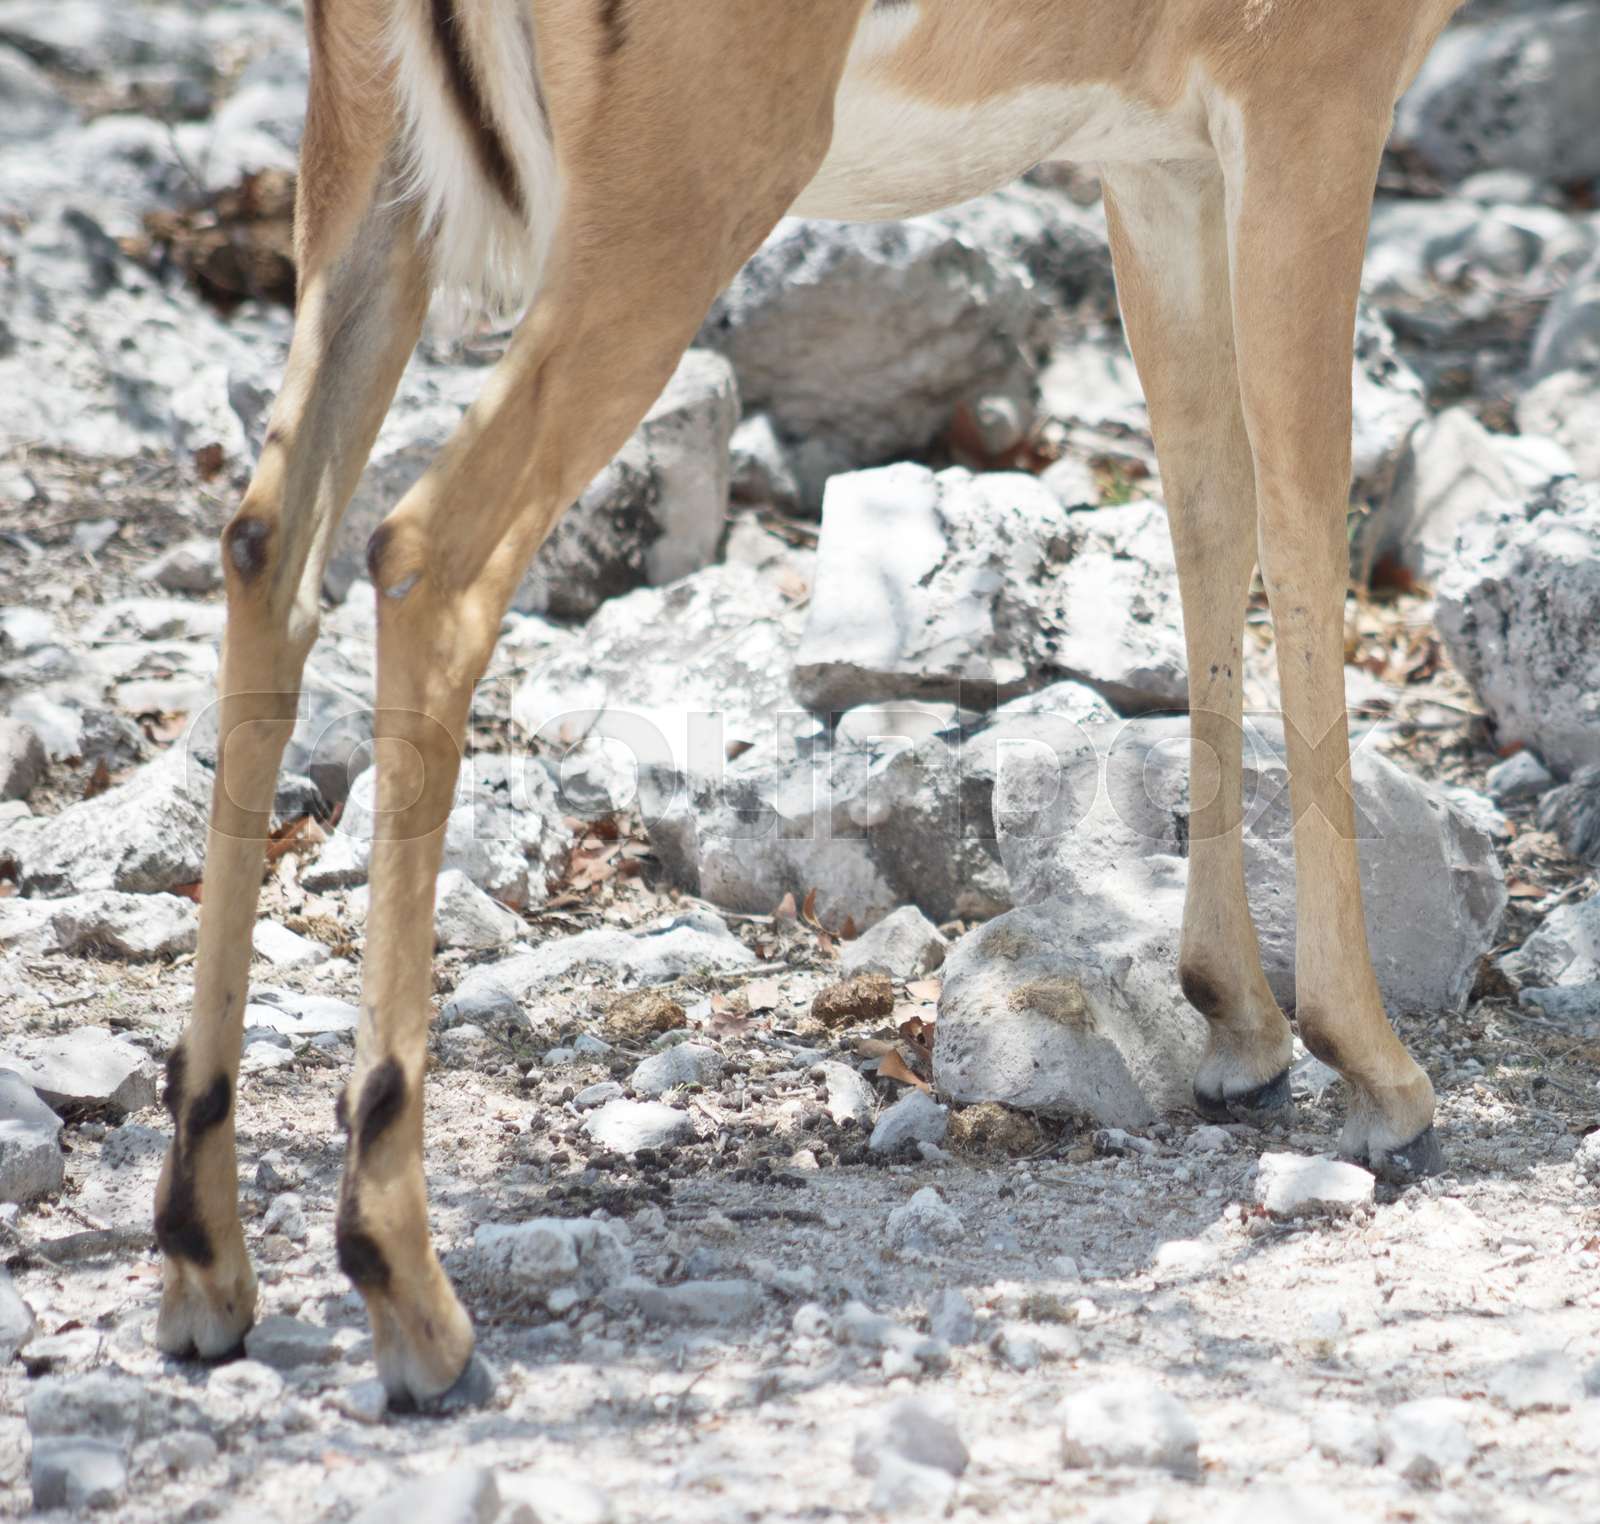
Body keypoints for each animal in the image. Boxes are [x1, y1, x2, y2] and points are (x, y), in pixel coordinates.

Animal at [154, 0, 1466, 1409]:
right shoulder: (1311, 108)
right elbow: (1307, 522)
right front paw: (1374, 1069)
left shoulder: (1156, 162)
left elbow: (1208, 513)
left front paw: (1238, 1021)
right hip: (660, 222)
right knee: (419, 560)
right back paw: (412, 1301)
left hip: (371, 193)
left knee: (265, 544)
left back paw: (205, 1270)